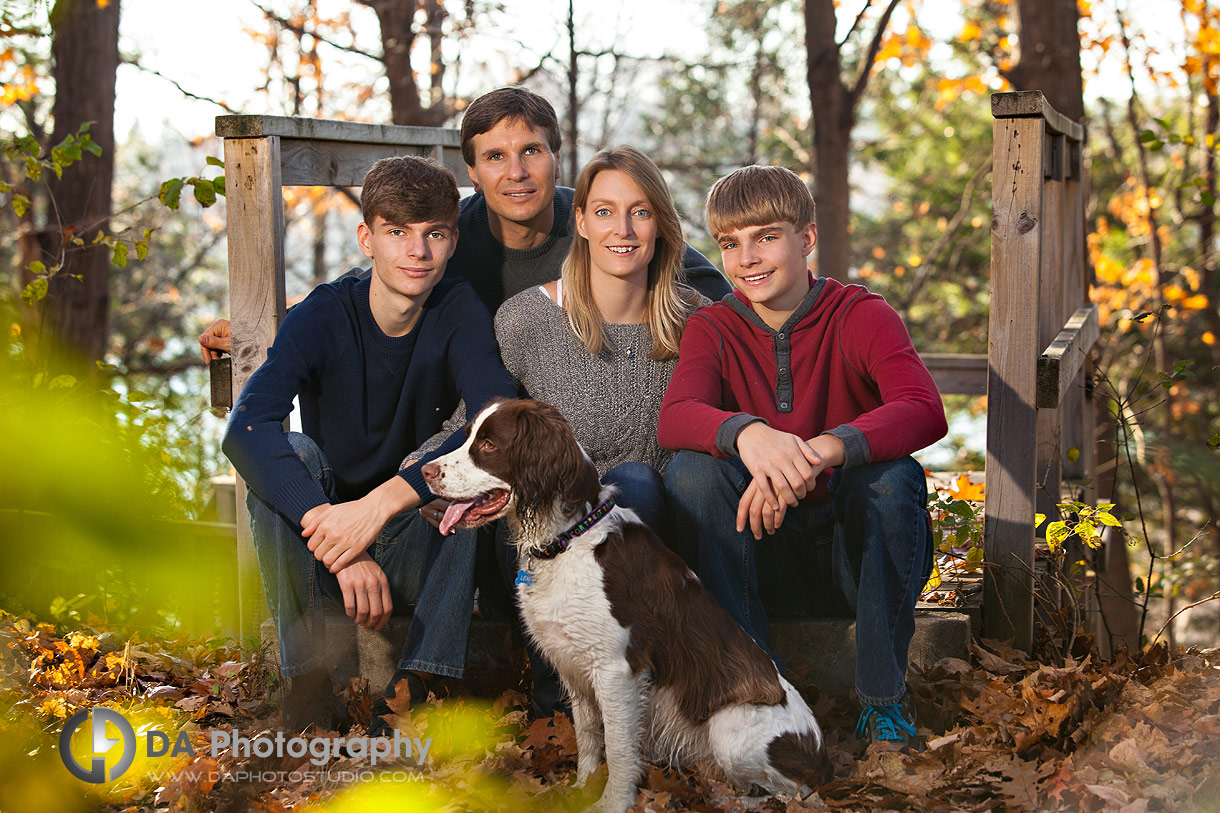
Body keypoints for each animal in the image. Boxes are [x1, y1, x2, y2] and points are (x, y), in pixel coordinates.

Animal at [419, 397, 829, 810]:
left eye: (489, 445)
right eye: (467, 434)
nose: (425, 470)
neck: (568, 539)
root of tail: (820, 753)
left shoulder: (616, 669)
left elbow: (618, 747)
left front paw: (611, 802)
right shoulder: (574, 664)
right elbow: (587, 735)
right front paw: (582, 787)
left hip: (731, 730)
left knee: (796, 794)